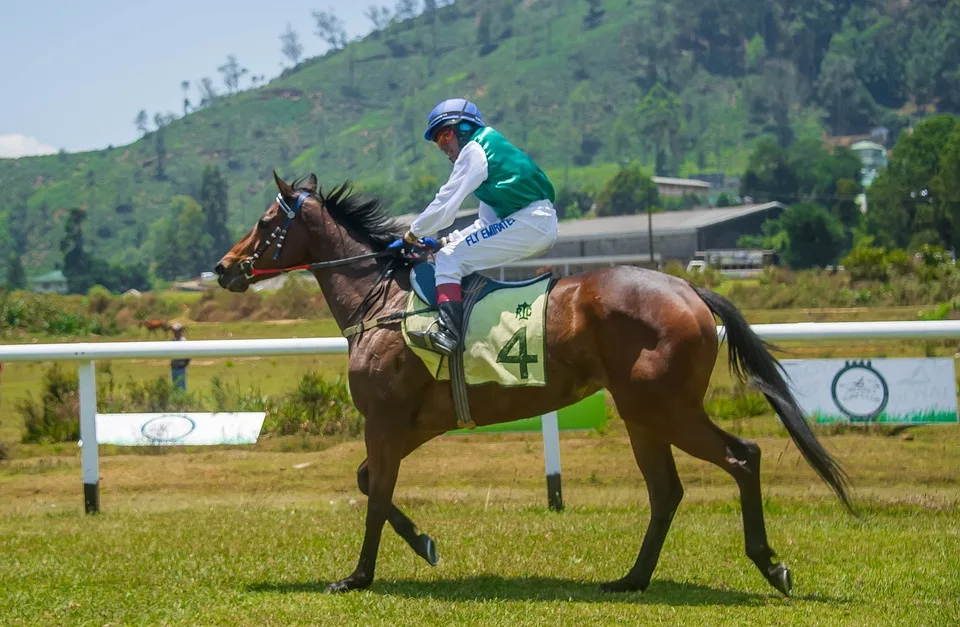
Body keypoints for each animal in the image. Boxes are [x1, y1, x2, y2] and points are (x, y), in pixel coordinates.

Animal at [214, 172, 852, 600]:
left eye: (265, 224)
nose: (224, 268)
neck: (384, 301)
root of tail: (688, 289)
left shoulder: (387, 420)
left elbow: (373, 496)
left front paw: (358, 576)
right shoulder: (412, 424)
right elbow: (370, 482)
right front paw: (424, 542)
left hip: (666, 408)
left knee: (742, 457)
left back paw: (769, 565)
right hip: (642, 414)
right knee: (666, 491)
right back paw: (632, 579)